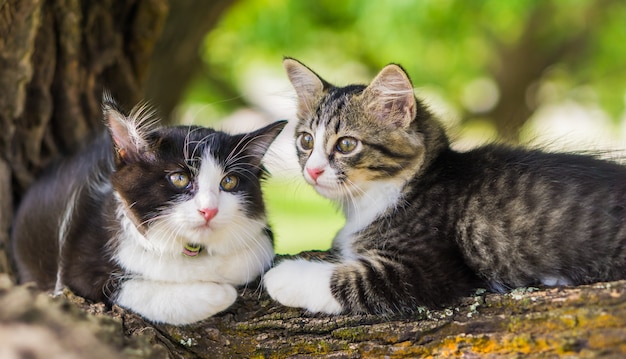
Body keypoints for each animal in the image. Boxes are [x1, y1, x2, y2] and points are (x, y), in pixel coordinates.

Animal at [12, 95, 286, 326]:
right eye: (179, 179)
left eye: (229, 182)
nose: (209, 210)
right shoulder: (78, 269)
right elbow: (136, 290)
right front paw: (221, 291)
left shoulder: (262, 239)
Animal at [262, 58, 624, 316]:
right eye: (306, 141)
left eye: (347, 144)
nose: (312, 170)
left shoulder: (426, 269)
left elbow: (348, 280)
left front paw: (281, 276)